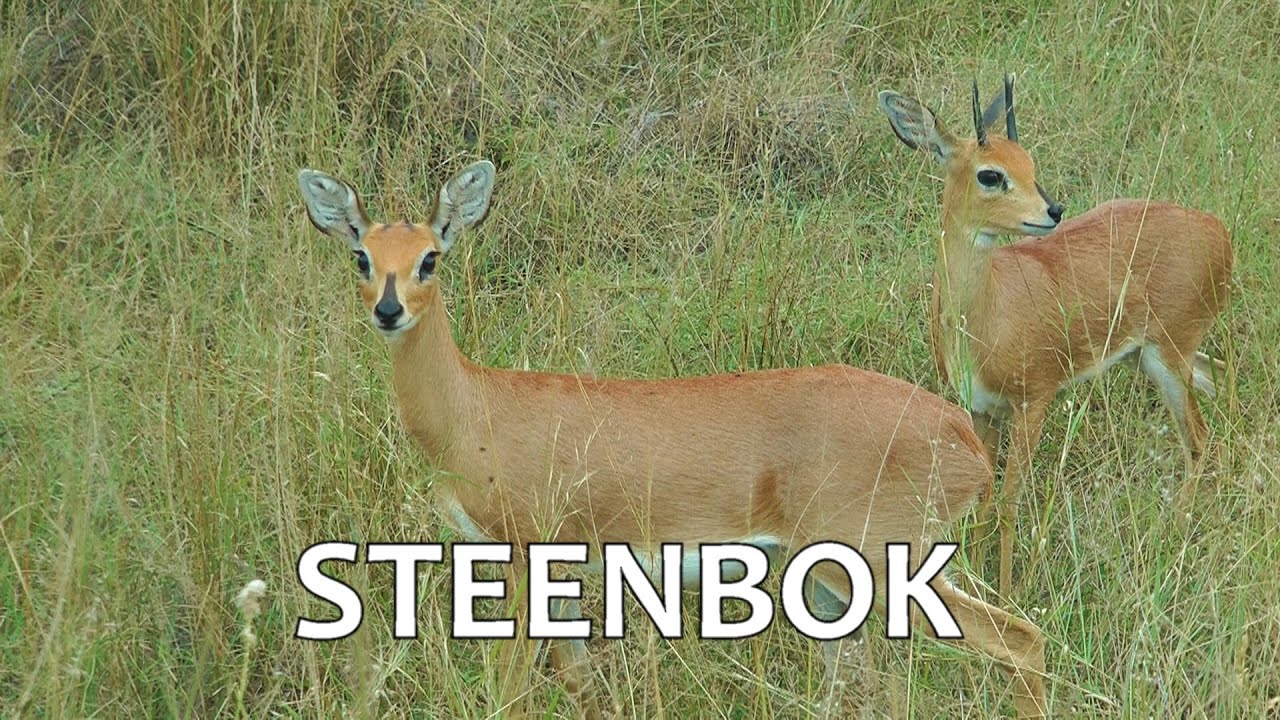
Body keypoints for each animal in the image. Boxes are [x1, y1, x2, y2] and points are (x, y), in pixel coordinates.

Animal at [297, 161, 1048, 718]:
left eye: (429, 258)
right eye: (362, 255)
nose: (388, 309)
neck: (476, 411)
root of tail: (961, 435)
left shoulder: (523, 557)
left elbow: (510, 689)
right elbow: (582, 685)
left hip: (886, 566)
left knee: (1022, 639)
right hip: (836, 584)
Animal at [878, 76, 1233, 596]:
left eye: (1029, 164)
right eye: (991, 175)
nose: (1053, 210)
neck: (985, 318)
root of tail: (1218, 230)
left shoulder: (1033, 405)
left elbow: (1008, 505)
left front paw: (1006, 595)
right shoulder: (982, 411)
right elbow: (983, 500)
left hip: (1169, 355)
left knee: (1200, 438)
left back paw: (1176, 532)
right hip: (1149, 357)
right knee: (1218, 380)